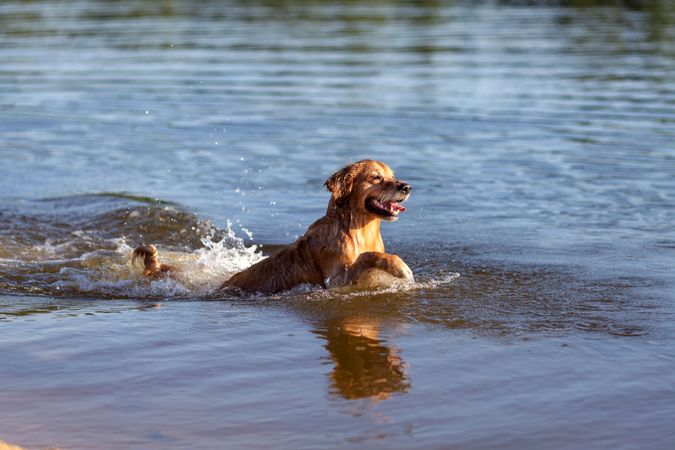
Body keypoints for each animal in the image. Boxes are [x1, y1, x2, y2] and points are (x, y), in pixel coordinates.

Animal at [133, 160, 412, 294]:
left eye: (392, 175)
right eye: (376, 177)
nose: (407, 186)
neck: (357, 229)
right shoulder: (333, 282)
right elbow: (367, 256)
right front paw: (400, 267)